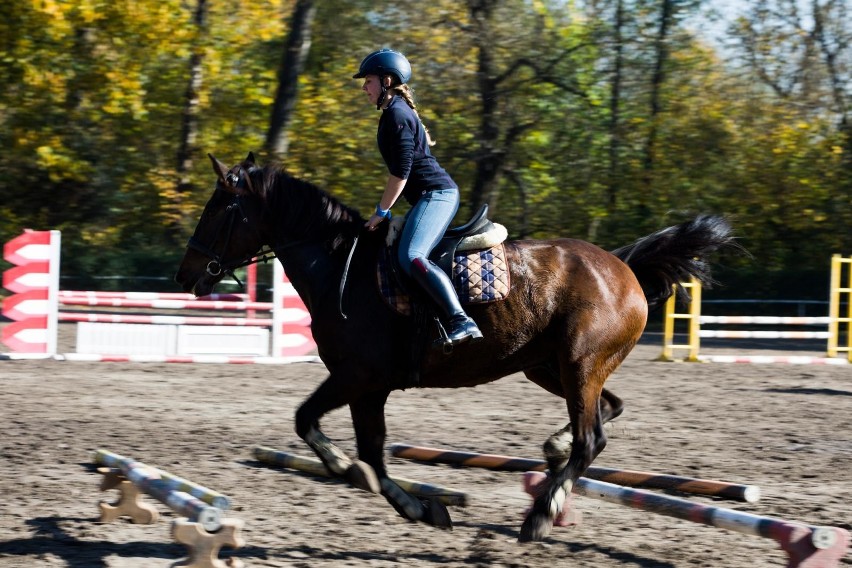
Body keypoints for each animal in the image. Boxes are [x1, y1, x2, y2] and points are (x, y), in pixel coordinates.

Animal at [175, 152, 740, 540]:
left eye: (219, 210)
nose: (186, 276)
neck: (341, 269)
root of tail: (622, 266)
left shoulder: (361, 379)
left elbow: (345, 442)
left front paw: (400, 497)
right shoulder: (359, 382)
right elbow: (340, 439)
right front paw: (386, 491)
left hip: (580, 365)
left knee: (591, 439)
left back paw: (540, 516)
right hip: (552, 367)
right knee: (607, 410)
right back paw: (552, 456)